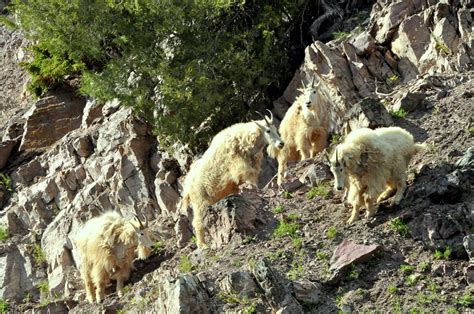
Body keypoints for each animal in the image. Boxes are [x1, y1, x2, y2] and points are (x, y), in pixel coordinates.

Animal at [181, 111, 286, 249]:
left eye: (275, 129)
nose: (281, 144)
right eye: (268, 130)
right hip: (200, 201)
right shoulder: (240, 167)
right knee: (197, 222)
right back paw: (203, 245)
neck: (243, 140)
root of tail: (187, 187)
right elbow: (249, 179)